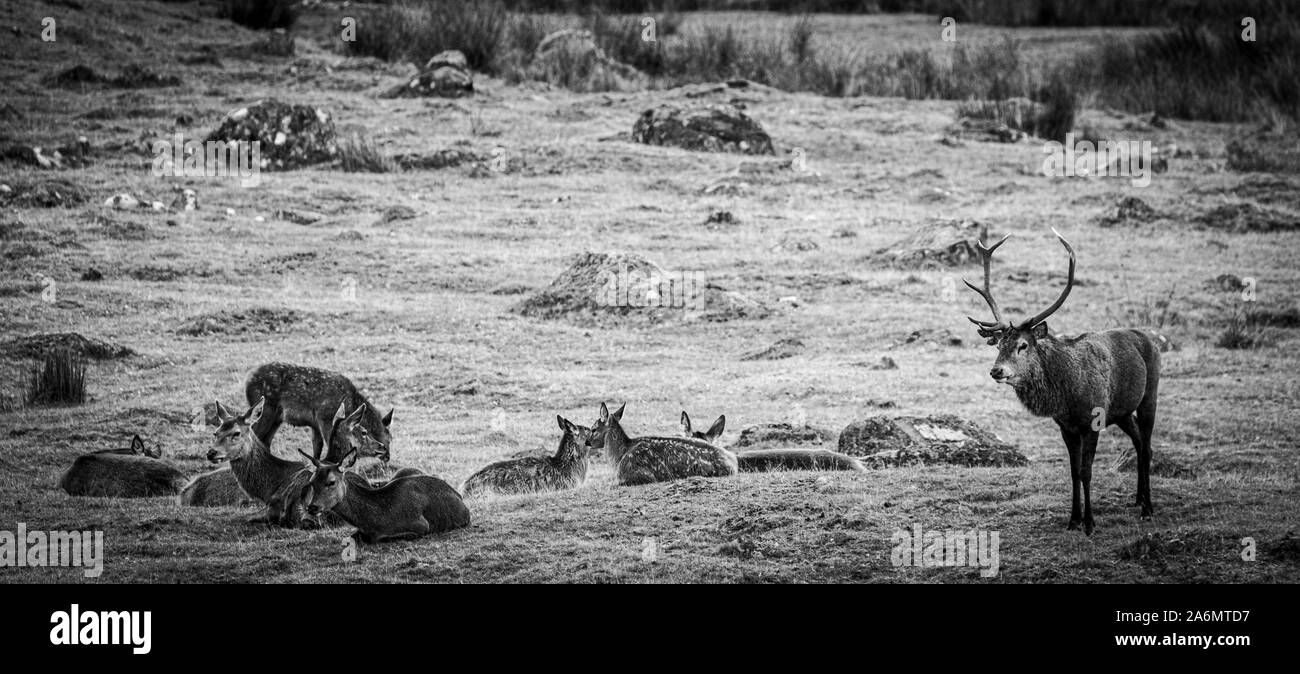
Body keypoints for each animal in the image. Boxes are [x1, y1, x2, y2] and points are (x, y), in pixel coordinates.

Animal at [244, 362, 394, 463]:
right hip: (266, 409)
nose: (387, 456)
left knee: (265, 442)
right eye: (389, 438)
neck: (350, 403)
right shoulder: (325, 417)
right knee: (253, 434)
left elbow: (317, 447)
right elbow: (330, 443)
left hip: (276, 418)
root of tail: (247, 381)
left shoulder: (315, 424)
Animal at [295, 404, 470, 543]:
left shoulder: (421, 525)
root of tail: (459, 496)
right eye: (311, 482)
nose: (312, 507)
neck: (376, 519)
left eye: (331, 482)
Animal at [964, 228, 1160, 535]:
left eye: (1023, 345)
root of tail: (1148, 338)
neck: (1068, 397)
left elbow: (1086, 471)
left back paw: (1148, 509)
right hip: (1121, 411)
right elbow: (1073, 471)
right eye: (999, 345)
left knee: (1148, 445)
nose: (997, 371)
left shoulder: (1093, 420)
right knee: (1139, 442)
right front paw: (1073, 520)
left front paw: (1089, 523)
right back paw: (1138, 499)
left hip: (1150, 394)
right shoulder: (1066, 426)